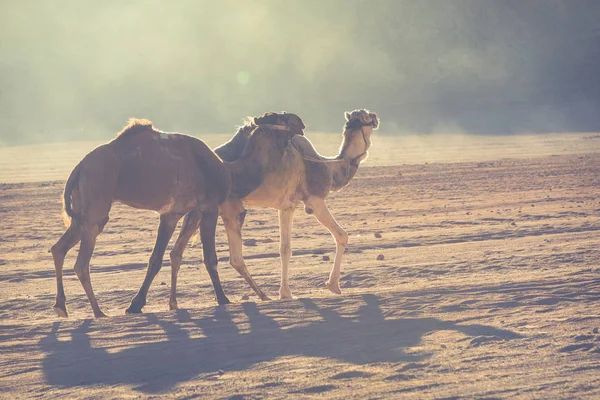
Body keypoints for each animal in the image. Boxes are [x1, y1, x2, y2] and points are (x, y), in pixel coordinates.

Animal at [51, 114, 304, 318]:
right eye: (281, 117)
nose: (301, 122)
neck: (229, 170)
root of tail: (78, 168)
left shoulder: (174, 213)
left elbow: (160, 258)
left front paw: (139, 304)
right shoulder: (209, 206)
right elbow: (209, 257)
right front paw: (223, 298)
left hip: (83, 213)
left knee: (58, 248)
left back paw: (62, 307)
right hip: (96, 202)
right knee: (81, 262)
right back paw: (98, 311)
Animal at [166, 108, 378, 306]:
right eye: (367, 117)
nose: (376, 117)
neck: (327, 167)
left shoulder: (285, 205)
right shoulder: (307, 201)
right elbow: (327, 239)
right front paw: (320, 288)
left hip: (203, 207)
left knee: (179, 251)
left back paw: (175, 303)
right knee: (224, 255)